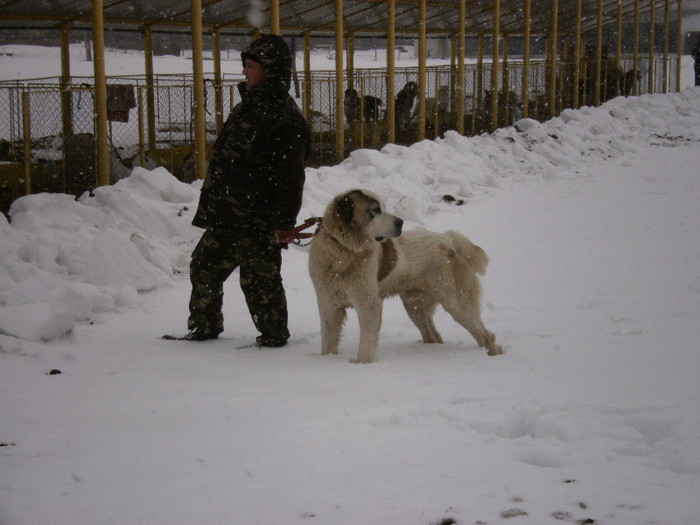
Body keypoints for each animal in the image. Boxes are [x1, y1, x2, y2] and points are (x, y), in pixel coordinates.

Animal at [308, 188, 500, 364]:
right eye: (375, 210)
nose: (400, 222)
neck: (342, 250)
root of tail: (448, 239)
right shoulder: (328, 304)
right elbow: (328, 339)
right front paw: (328, 360)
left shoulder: (369, 303)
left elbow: (366, 343)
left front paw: (362, 365)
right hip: (415, 306)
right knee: (433, 334)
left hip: (457, 303)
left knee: (485, 334)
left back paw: (493, 355)